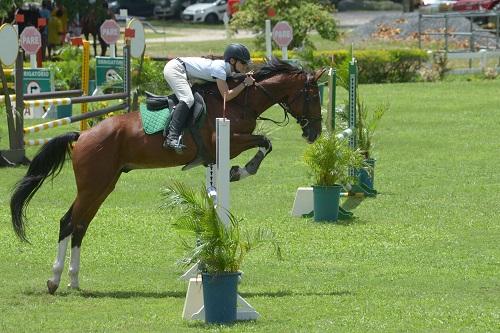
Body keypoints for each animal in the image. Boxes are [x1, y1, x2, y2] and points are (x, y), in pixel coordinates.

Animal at [10, 57, 324, 294]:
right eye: (312, 95)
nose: (315, 133)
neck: (240, 100)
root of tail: (83, 134)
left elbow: (264, 143)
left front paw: (237, 171)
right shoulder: (229, 140)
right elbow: (264, 142)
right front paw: (241, 171)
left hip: (104, 185)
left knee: (80, 225)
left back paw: (73, 281)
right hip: (92, 185)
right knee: (67, 222)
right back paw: (54, 280)